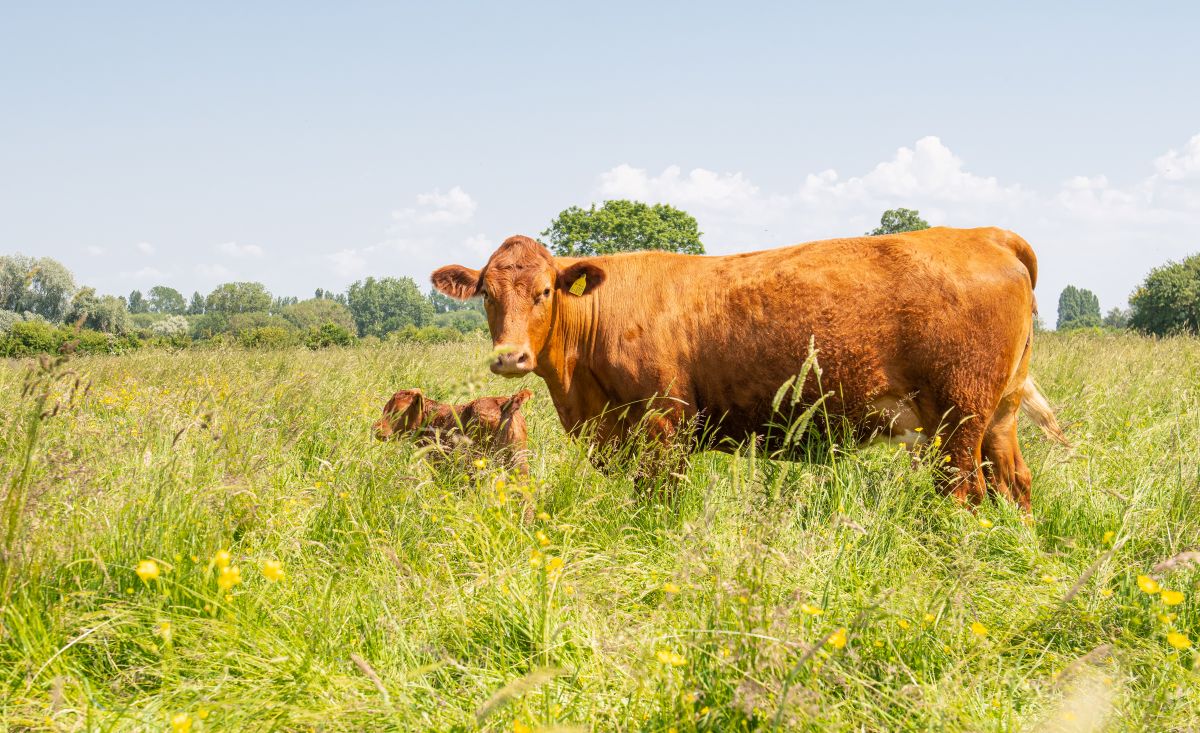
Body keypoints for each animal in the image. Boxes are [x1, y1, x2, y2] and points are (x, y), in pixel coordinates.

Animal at [431, 227, 1067, 509]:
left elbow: (661, 497)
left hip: (959, 416)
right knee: (1014, 481)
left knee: (965, 489)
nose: (509, 357)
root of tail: (984, 234)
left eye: (543, 291)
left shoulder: (664, 423)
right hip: (998, 413)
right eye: (486, 293)